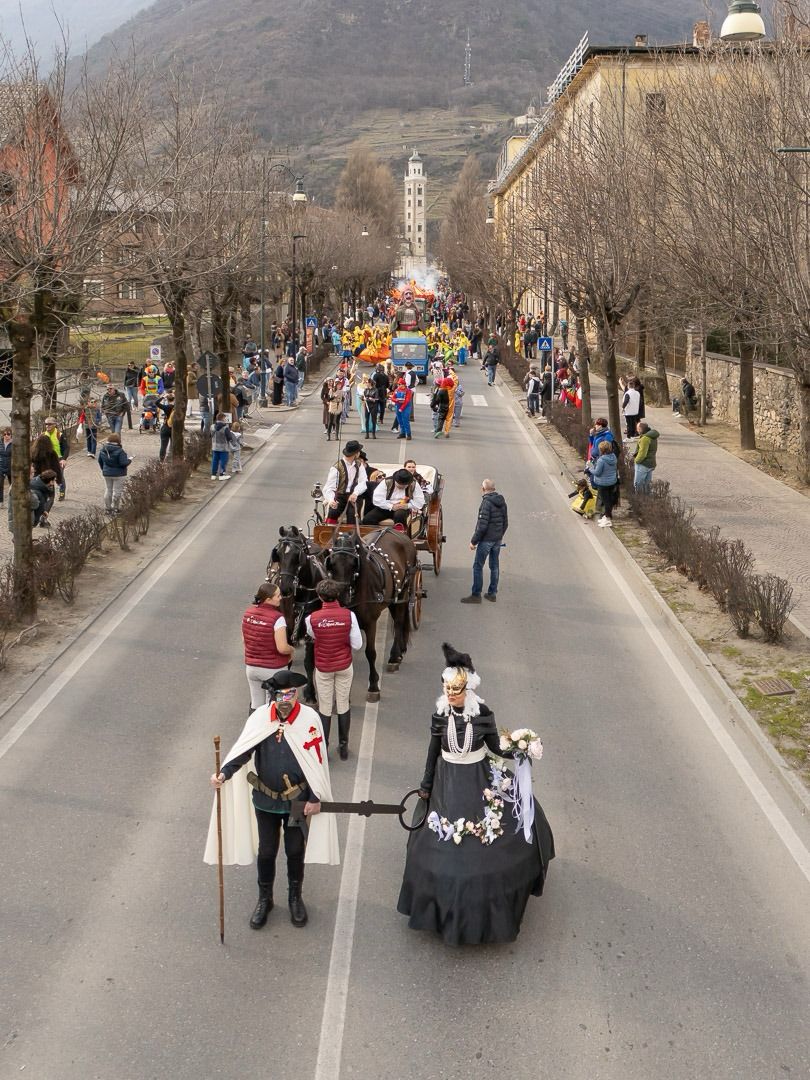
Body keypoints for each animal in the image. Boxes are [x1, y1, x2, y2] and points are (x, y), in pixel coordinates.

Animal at [321, 522, 419, 699]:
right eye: (331, 562)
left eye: (353, 563)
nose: (341, 594)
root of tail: (392, 529)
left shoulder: (371, 623)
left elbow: (370, 652)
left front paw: (373, 685)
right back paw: (399, 652)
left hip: (403, 593)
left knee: (399, 622)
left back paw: (394, 656)